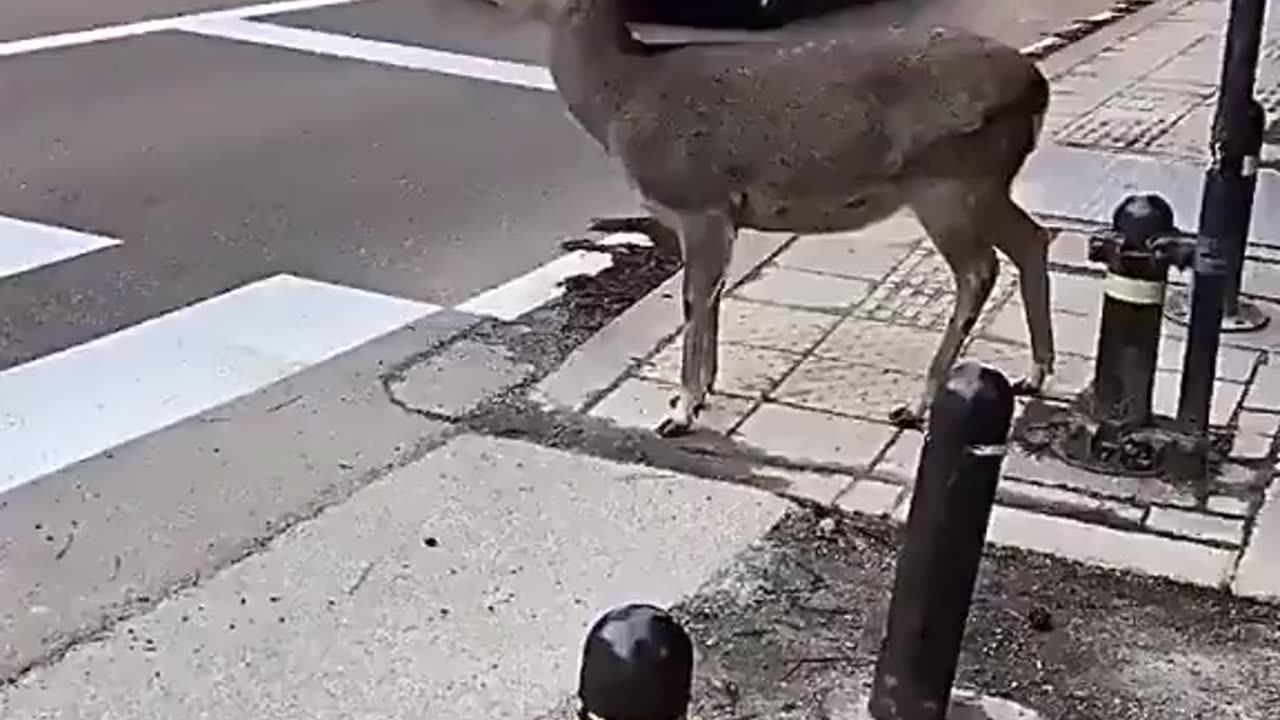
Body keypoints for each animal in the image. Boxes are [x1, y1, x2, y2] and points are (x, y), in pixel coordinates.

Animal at [522, 0, 1059, 435]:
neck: (623, 100)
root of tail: (1038, 88)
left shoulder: (699, 202)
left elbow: (694, 300)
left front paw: (681, 411)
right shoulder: (722, 216)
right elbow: (713, 296)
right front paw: (701, 392)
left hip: (946, 179)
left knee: (979, 269)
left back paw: (917, 405)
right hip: (984, 183)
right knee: (1033, 238)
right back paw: (1033, 375)